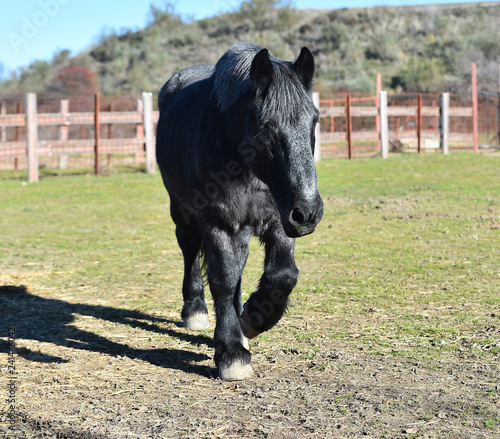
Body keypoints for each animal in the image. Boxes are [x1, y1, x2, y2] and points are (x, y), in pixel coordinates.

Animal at [156, 43, 324, 384]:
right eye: (266, 125)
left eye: (313, 120)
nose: (309, 212)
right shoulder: (218, 224)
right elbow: (223, 280)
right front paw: (232, 353)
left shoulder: (280, 219)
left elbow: (282, 275)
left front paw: (253, 319)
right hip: (182, 212)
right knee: (191, 253)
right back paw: (196, 312)